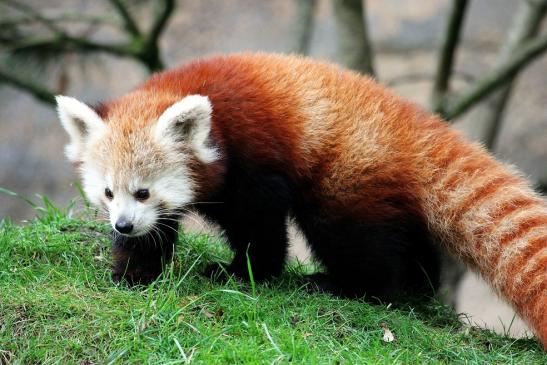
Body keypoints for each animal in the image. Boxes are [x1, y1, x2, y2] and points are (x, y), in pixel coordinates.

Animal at [56, 52, 547, 346]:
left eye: (143, 191)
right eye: (109, 193)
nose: (122, 224)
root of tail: (411, 122)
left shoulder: (251, 157)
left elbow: (260, 222)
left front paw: (244, 273)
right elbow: (157, 233)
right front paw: (134, 269)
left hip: (346, 172)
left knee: (354, 239)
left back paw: (350, 286)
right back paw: (417, 285)